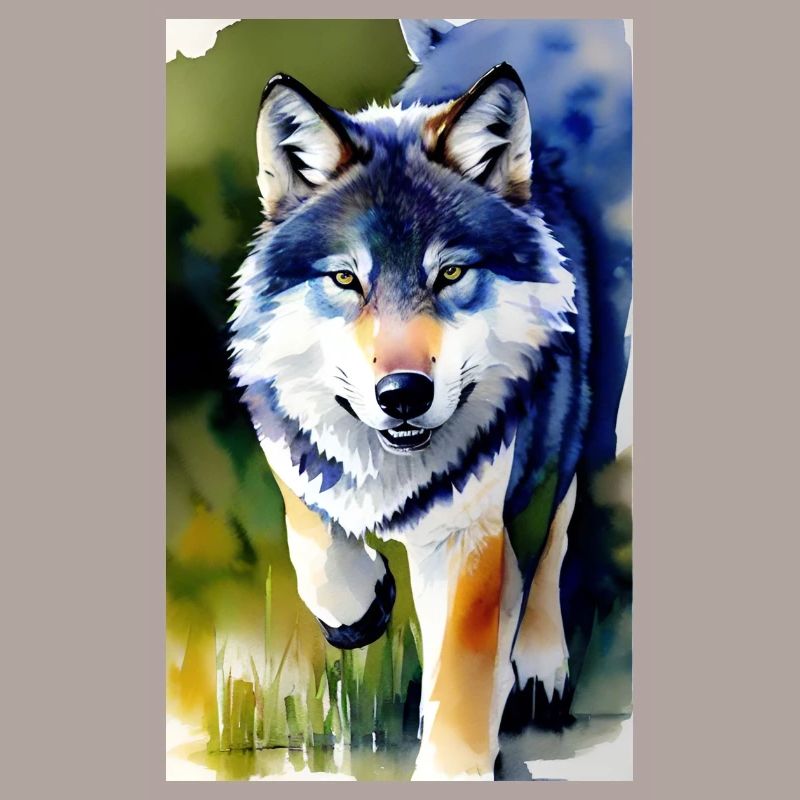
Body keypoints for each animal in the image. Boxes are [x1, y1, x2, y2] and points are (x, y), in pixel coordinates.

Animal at [229, 19, 631, 780]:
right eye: (346, 279)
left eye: (449, 273)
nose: (403, 395)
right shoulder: (285, 434)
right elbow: (313, 534)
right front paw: (361, 603)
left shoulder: (467, 531)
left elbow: (463, 673)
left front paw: (455, 765)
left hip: (584, 407)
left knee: (557, 527)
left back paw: (538, 662)